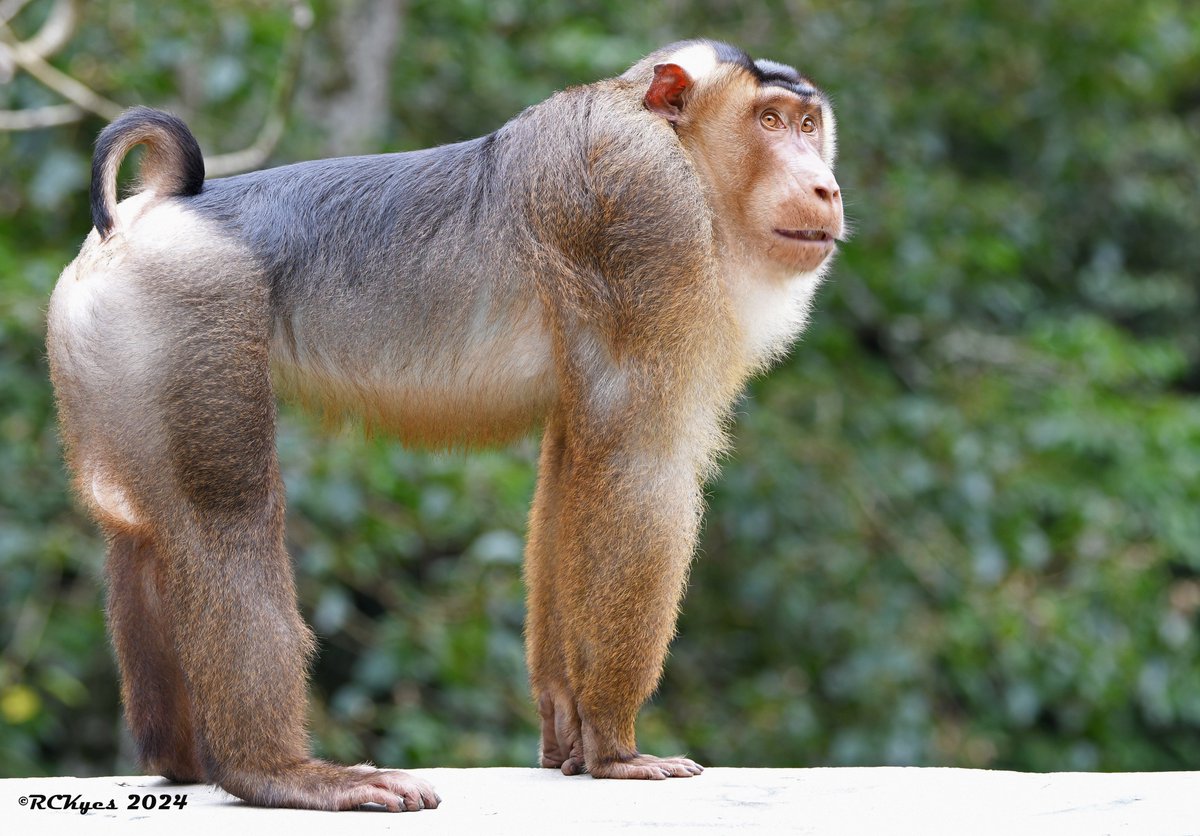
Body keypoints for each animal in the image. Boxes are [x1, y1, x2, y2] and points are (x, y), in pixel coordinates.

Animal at [45, 38, 844, 811]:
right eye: (770, 121)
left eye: (809, 125)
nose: (826, 186)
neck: (671, 139)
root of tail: (157, 210)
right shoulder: (648, 211)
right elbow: (639, 464)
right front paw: (615, 746)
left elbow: (570, 467)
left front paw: (567, 722)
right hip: (191, 305)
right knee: (224, 520)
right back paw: (275, 773)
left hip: (112, 337)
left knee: (138, 531)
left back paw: (179, 763)